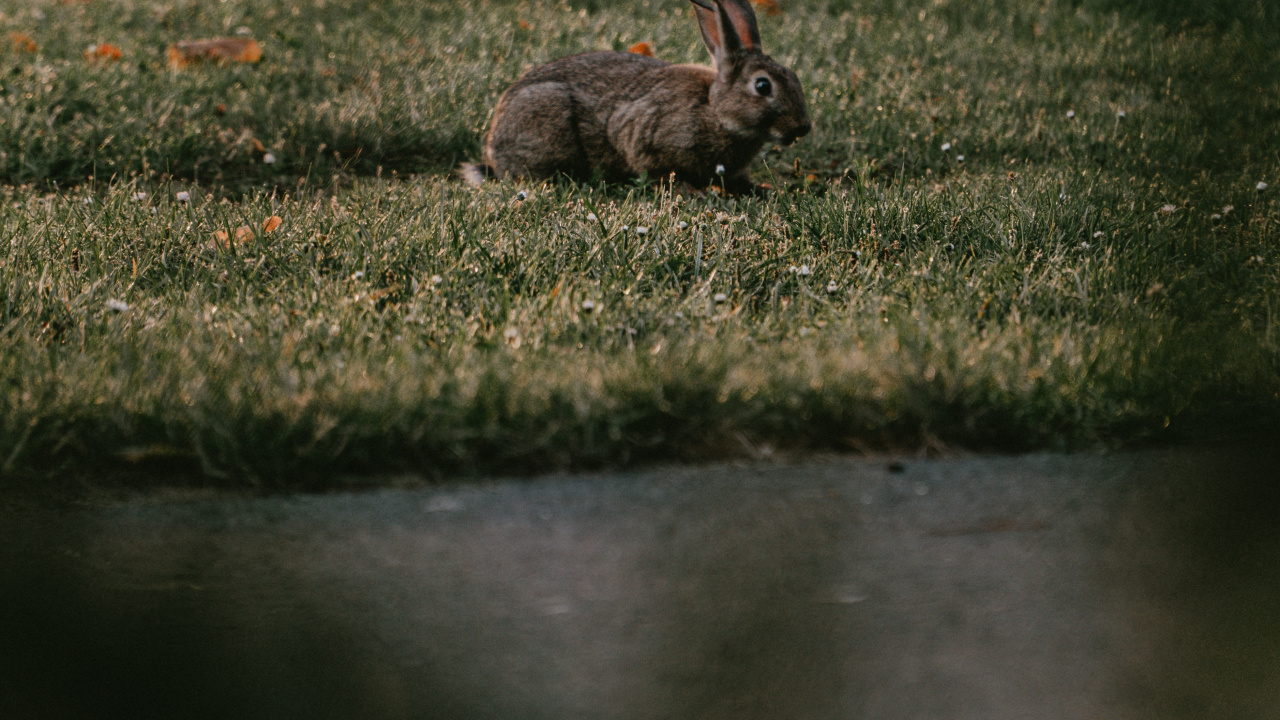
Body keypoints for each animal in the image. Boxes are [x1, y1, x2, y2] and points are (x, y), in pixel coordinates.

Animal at [461, 0, 810, 194]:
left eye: (793, 77)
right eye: (763, 86)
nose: (803, 127)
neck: (715, 111)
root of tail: (494, 145)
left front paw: (765, 189)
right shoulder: (643, 136)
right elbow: (653, 167)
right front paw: (690, 191)